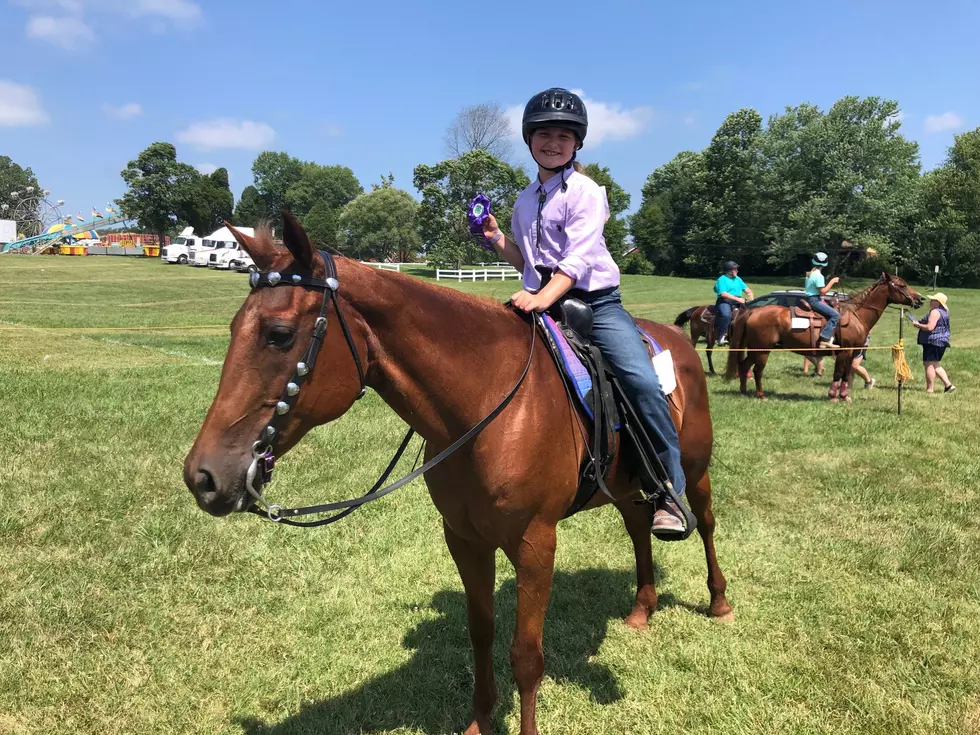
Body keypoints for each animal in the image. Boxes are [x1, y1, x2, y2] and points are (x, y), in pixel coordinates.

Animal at [184, 216, 732, 735]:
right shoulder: (464, 538)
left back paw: (719, 601)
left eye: (278, 334)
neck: (487, 403)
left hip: (693, 470)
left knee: (704, 522)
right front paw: (479, 721)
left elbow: (526, 655)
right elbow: (481, 632)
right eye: (233, 328)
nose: (202, 477)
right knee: (638, 527)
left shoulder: (536, 544)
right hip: (623, 484)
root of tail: (677, 340)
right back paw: (641, 609)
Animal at [724, 272, 924, 402]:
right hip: (763, 350)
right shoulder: (845, 351)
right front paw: (833, 396)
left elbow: (845, 375)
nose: (920, 299)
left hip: (754, 348)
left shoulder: (851, 352)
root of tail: (752, 311)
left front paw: (845, 396)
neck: (856, 315)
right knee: (757, 371)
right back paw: (761, 395)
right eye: (902, 285)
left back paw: (743, 391)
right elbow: (838, 373)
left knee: (744, 366)